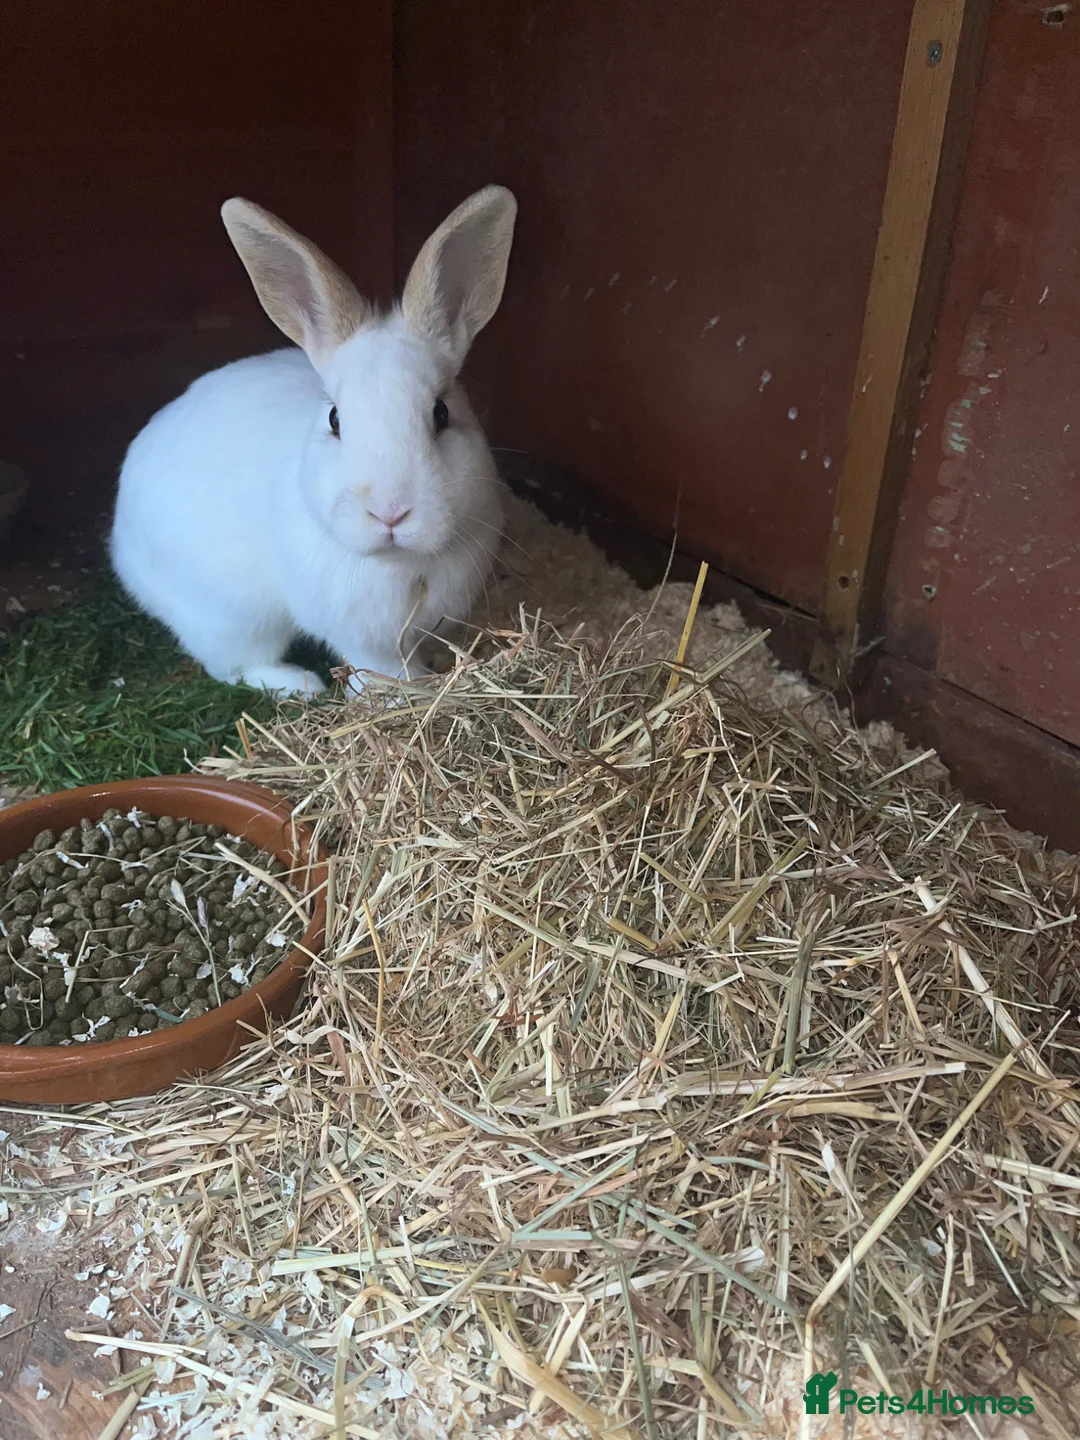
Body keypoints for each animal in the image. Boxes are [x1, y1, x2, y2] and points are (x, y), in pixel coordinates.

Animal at [110, 185, 517, 696]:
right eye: (334, 418)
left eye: (441, 413)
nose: (390, 512)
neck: (398, 562)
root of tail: (121, 542)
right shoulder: (357, 633)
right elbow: (380, 666)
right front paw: (402, 693)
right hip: (230, 618)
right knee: (233, 666)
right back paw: (300, 684)